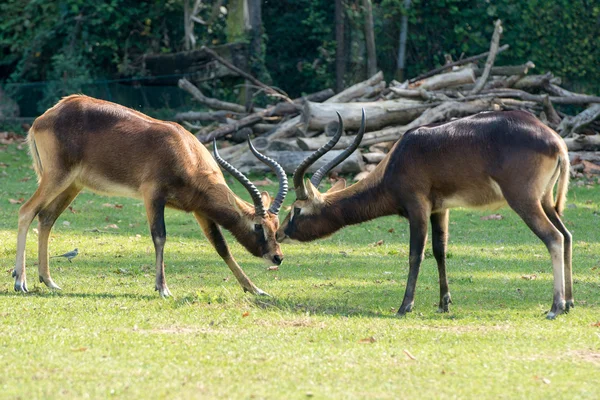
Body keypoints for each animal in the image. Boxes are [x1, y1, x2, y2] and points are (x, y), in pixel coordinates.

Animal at [12, 95, 288, 296]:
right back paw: (20, 282)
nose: (277, 257)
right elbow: (160, 236)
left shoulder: (199, 209)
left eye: (276, 225)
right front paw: (163, 288)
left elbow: (221, 246)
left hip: (72, 185)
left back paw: (48, 281)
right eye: (258, 226)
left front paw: (255, 289)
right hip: (56, 178)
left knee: (46, 218)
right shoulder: (153, 196)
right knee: (26, 211)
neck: (184, 152)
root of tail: (44, 118)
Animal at [278, 109, 576, 318]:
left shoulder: (417, 206)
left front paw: (404, 306)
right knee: (567, 235)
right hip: (545, 201)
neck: (398, 158)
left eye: (296, 210)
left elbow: (415, 254)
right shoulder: (440, 209)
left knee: (553, 238)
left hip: (524, 201)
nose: (280, 234)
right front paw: (444, 303)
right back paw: (570, 302)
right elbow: (439, 250)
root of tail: (556, 142)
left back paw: (554, 307)